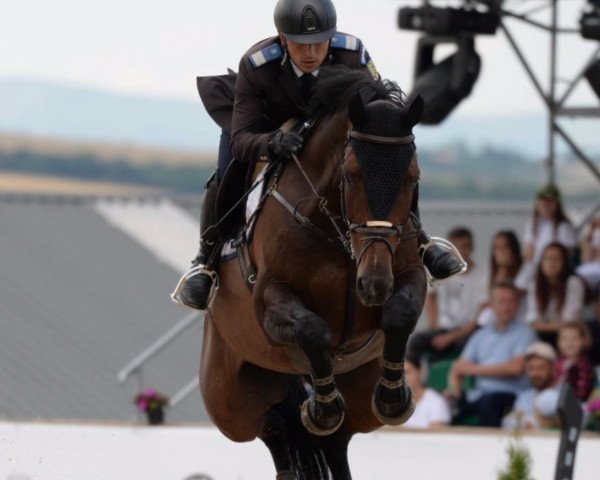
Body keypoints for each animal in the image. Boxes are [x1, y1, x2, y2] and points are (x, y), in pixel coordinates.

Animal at [200, 68, 426, 480]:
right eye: (351, 174)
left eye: (412, 177)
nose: (373, 284)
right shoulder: (269, 299)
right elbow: (313, 329)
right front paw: (322, 409)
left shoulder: (410, 273)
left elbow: (400, 313)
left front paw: (393, 397)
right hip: (229, 402)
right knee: (272, 425)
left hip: (357, 387)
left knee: (338, 435)